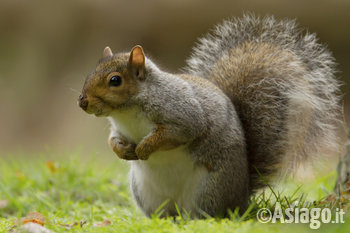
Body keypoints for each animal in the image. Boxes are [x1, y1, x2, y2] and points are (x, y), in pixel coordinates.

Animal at [78, 15, 342, 218]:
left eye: (115, 80)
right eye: (90, 72)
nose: (82, 102)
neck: (127, 111)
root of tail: (242, 196)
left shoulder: (182, 112)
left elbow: (179, 132)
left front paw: (145, 147)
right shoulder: (119, 129)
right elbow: (113, 139)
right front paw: (122, 151)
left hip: (209, 189)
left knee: (207, 214)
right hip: (145, 193)